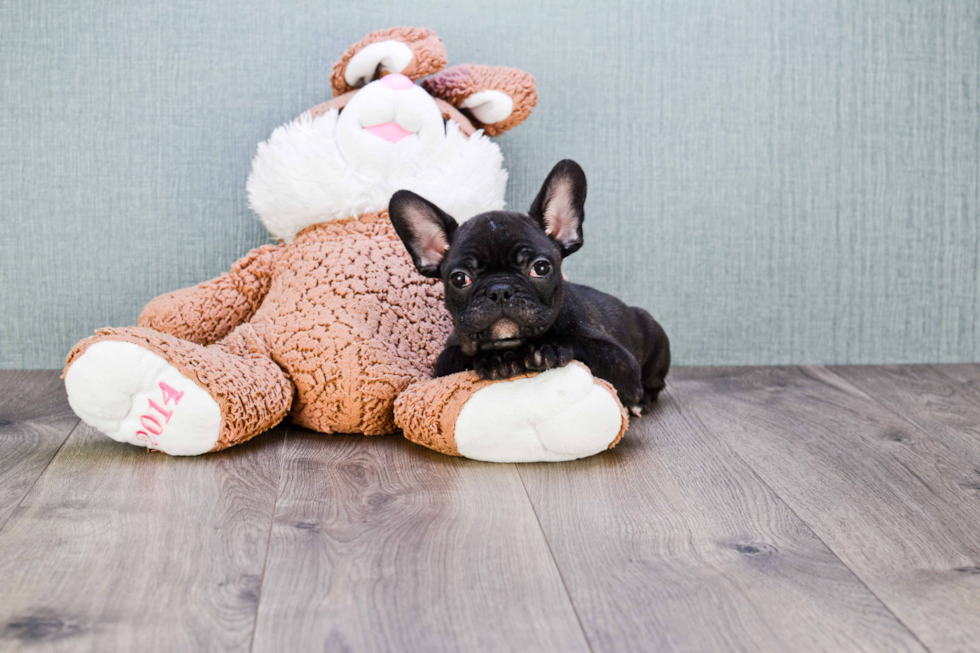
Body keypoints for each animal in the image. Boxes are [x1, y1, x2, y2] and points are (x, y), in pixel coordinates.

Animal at [390, 159, 672, 412]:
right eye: (460, 279)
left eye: (541, 268)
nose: (500, 290)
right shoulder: (444, 363)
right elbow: (460, 356)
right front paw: (496, 358)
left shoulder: (620, 362)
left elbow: (580, 343)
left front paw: (547, 348)